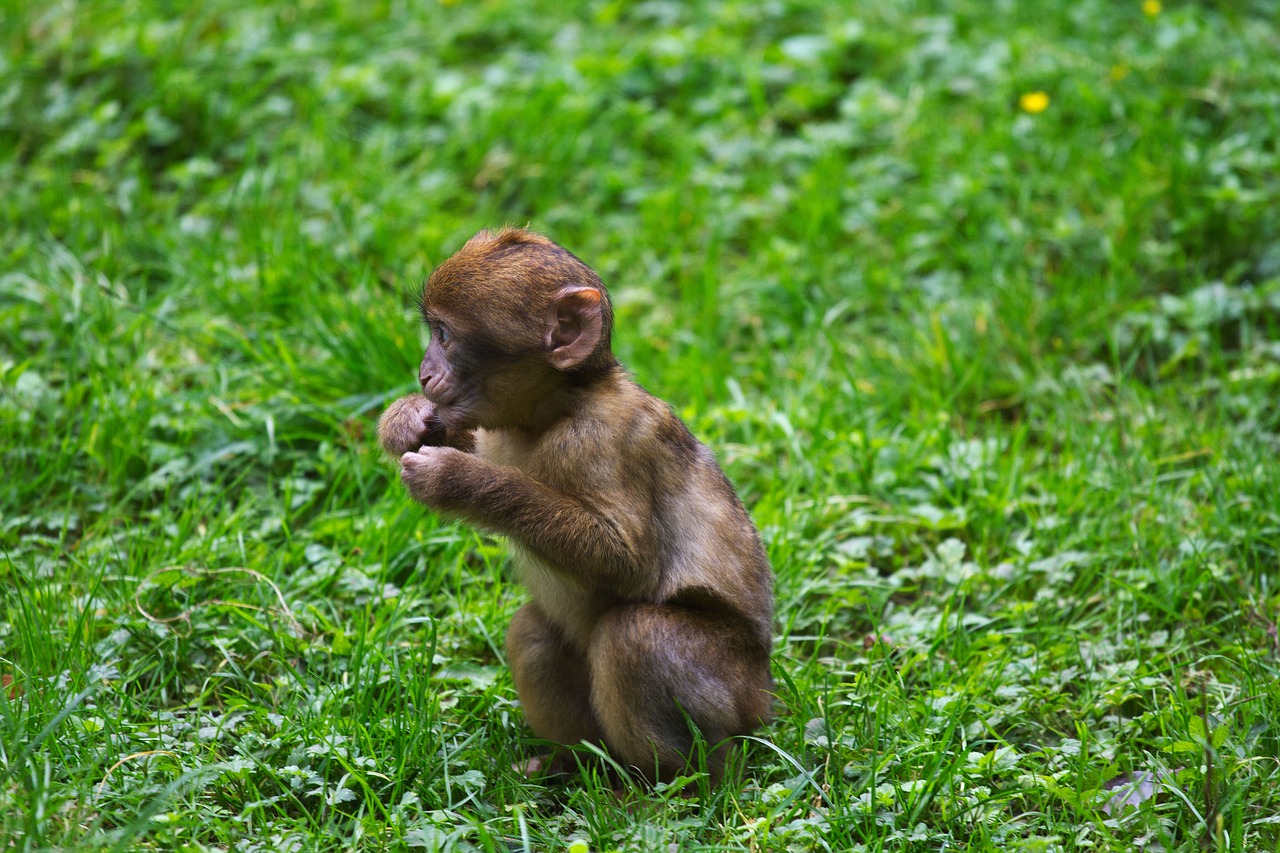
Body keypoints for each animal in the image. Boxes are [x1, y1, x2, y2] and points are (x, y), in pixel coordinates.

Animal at [378, 224, 773, 778]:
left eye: (445, 335)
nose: (423, 373)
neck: (557, 408)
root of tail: (765, 698)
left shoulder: (602, 441)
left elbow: (628, 562)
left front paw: (459, 481)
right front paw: (408, 419)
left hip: (733, 694)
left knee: (635, 636)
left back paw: (674, 787)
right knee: (534, 632)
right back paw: (573, 765)